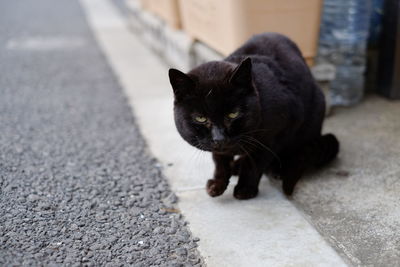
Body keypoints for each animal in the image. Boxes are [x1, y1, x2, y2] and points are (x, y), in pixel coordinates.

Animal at [167, 32, 340, 200]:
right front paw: (218, 184)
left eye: (233, 114)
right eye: (201, 118)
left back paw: (276, 169)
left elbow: (255, 163)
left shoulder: (274, 134)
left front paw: (245, 189)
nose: (219, 138)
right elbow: (220, 160)